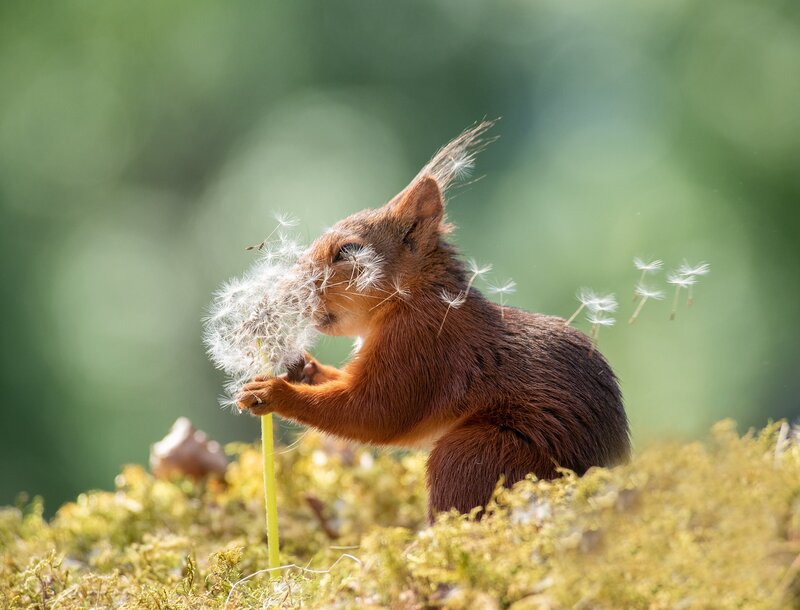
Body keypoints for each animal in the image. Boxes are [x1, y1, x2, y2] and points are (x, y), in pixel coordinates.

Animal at [236, 121, 630, 520]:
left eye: (348, 251)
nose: (286, 291)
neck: (411, 298)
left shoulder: (421, 345)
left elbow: (374, 411)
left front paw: (274, 392)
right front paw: (303, 368)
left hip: (476, 454)